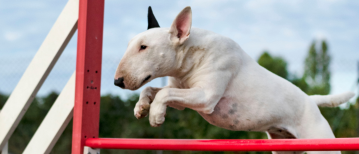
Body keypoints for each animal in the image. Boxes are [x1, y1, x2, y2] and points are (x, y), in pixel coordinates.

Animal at [114, 6, 354, 153]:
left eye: (144, 47)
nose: (117, 82)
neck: (190, 56)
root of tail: (311, 100)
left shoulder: (206, 97)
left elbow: (163, 92)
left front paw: (156, 115)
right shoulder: (181, 93)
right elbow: (152, 90)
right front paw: (141, 108)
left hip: (321, 142)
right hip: (284, 146)